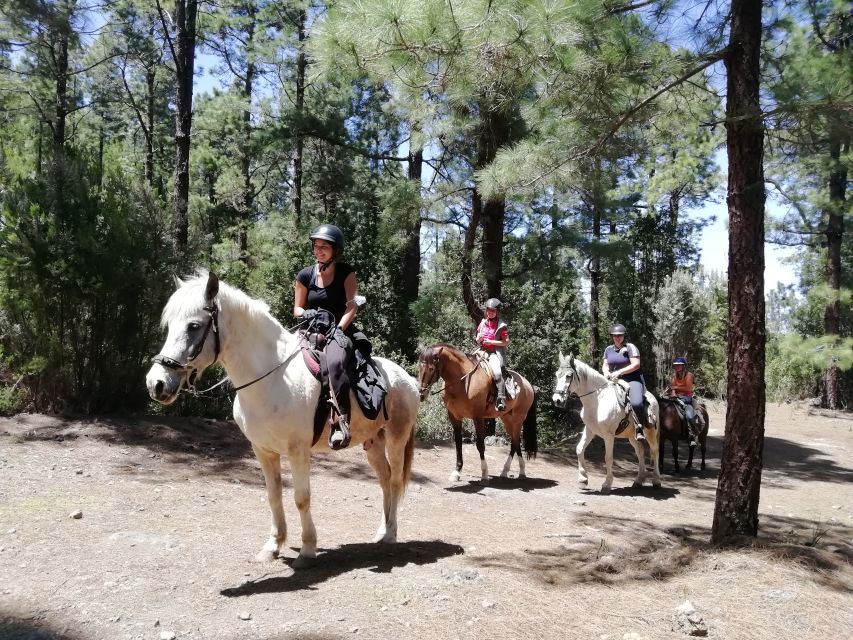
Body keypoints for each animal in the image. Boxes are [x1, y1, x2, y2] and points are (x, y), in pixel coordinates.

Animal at [146, 272, 420, 568]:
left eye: (194, 326)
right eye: (169, 325)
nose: (156, 384)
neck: (271, 377)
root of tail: (407, 379)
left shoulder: (298, 451)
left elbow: (301, 498)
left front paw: (307, 550)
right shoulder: (263, 450)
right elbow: (273, 494)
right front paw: (273, 545)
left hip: (395, 439)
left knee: (395, 481)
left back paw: (391, 534)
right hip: (373, 444)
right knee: (385, 482)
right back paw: (381, 531)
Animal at [416, 342, 536, 482]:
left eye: (431, 368)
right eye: (419, 367)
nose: (421, 394)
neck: (462, 381)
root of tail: (527, 384)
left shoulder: (478, 417)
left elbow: (480, 444)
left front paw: (484, 474)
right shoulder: (454, 416)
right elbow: (458, 443)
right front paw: (456, 472)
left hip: (518, 419)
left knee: (515, 443)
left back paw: (508, 471)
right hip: (507, 420)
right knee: (516, 442)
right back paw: (517, 472)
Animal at [548, 352, 664, 492]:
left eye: (569, 375)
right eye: (556, 374)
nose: (557, 400)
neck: (598, 400)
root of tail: (653, 398)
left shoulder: (609, 436)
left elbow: (608, 458)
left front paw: (607, 484)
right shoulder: (589, 430)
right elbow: (579, 449)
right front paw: (583, 480)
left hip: (651, 432)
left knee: (655, 451)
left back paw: (656, 481)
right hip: (632, 436)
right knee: (640, 452)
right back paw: (638, 480)